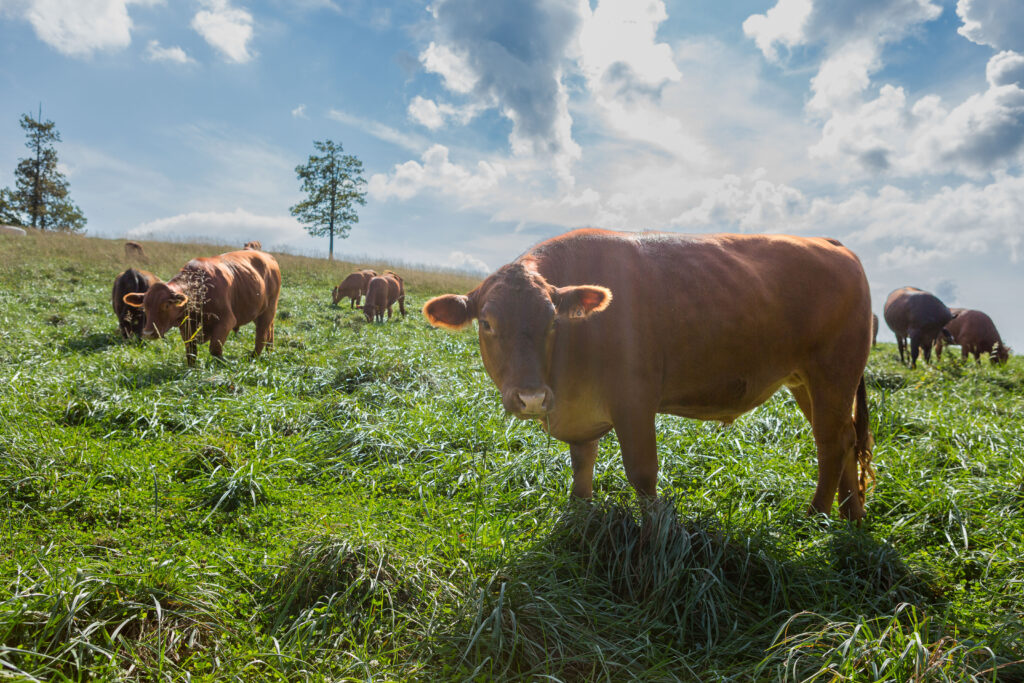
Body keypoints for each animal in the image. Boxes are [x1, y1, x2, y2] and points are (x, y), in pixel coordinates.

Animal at [122, 250, 281, 366]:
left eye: (166, 305)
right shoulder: (186, 327)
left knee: (261, 335)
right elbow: (191, 352)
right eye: (145, 306)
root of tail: (267, 256)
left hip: (269, 309)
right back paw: (270, 351)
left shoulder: (226, 321)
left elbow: (215, 350)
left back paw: (253, 357)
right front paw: (191, 370)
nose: (148, 333)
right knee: (270, 331)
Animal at [424, 229, 875, 521]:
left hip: (832, 374)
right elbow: (582, 463)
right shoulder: (581, 410)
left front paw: (653, 535)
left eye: (552, 321)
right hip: (808, 383)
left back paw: (813, 518)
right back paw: (851, 517)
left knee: (830, 443)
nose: (531, 397)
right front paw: (579, 513)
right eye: (486, 323)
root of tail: (833, 245)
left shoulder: (635, 401)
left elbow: (642, 473)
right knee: (847, 438)